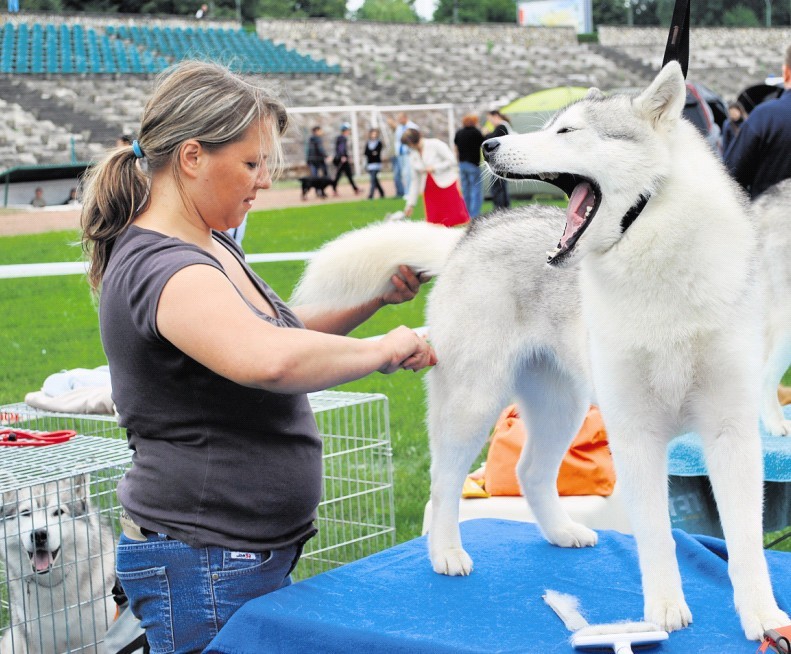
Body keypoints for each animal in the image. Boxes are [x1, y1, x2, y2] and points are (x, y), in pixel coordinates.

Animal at [292, 62, 791, 640]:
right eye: (551, 124)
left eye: (567, 131)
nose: (488, 144)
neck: (660, 274)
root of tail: (468, 235)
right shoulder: (636, 434)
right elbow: (657, 536)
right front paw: (665, 610)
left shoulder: (731, 433)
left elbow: (746, 543)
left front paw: (763, 617)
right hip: (473, 404)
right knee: (444, 484)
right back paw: (446, 553)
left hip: (562, 407)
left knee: (530, 472)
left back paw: (560, 532)